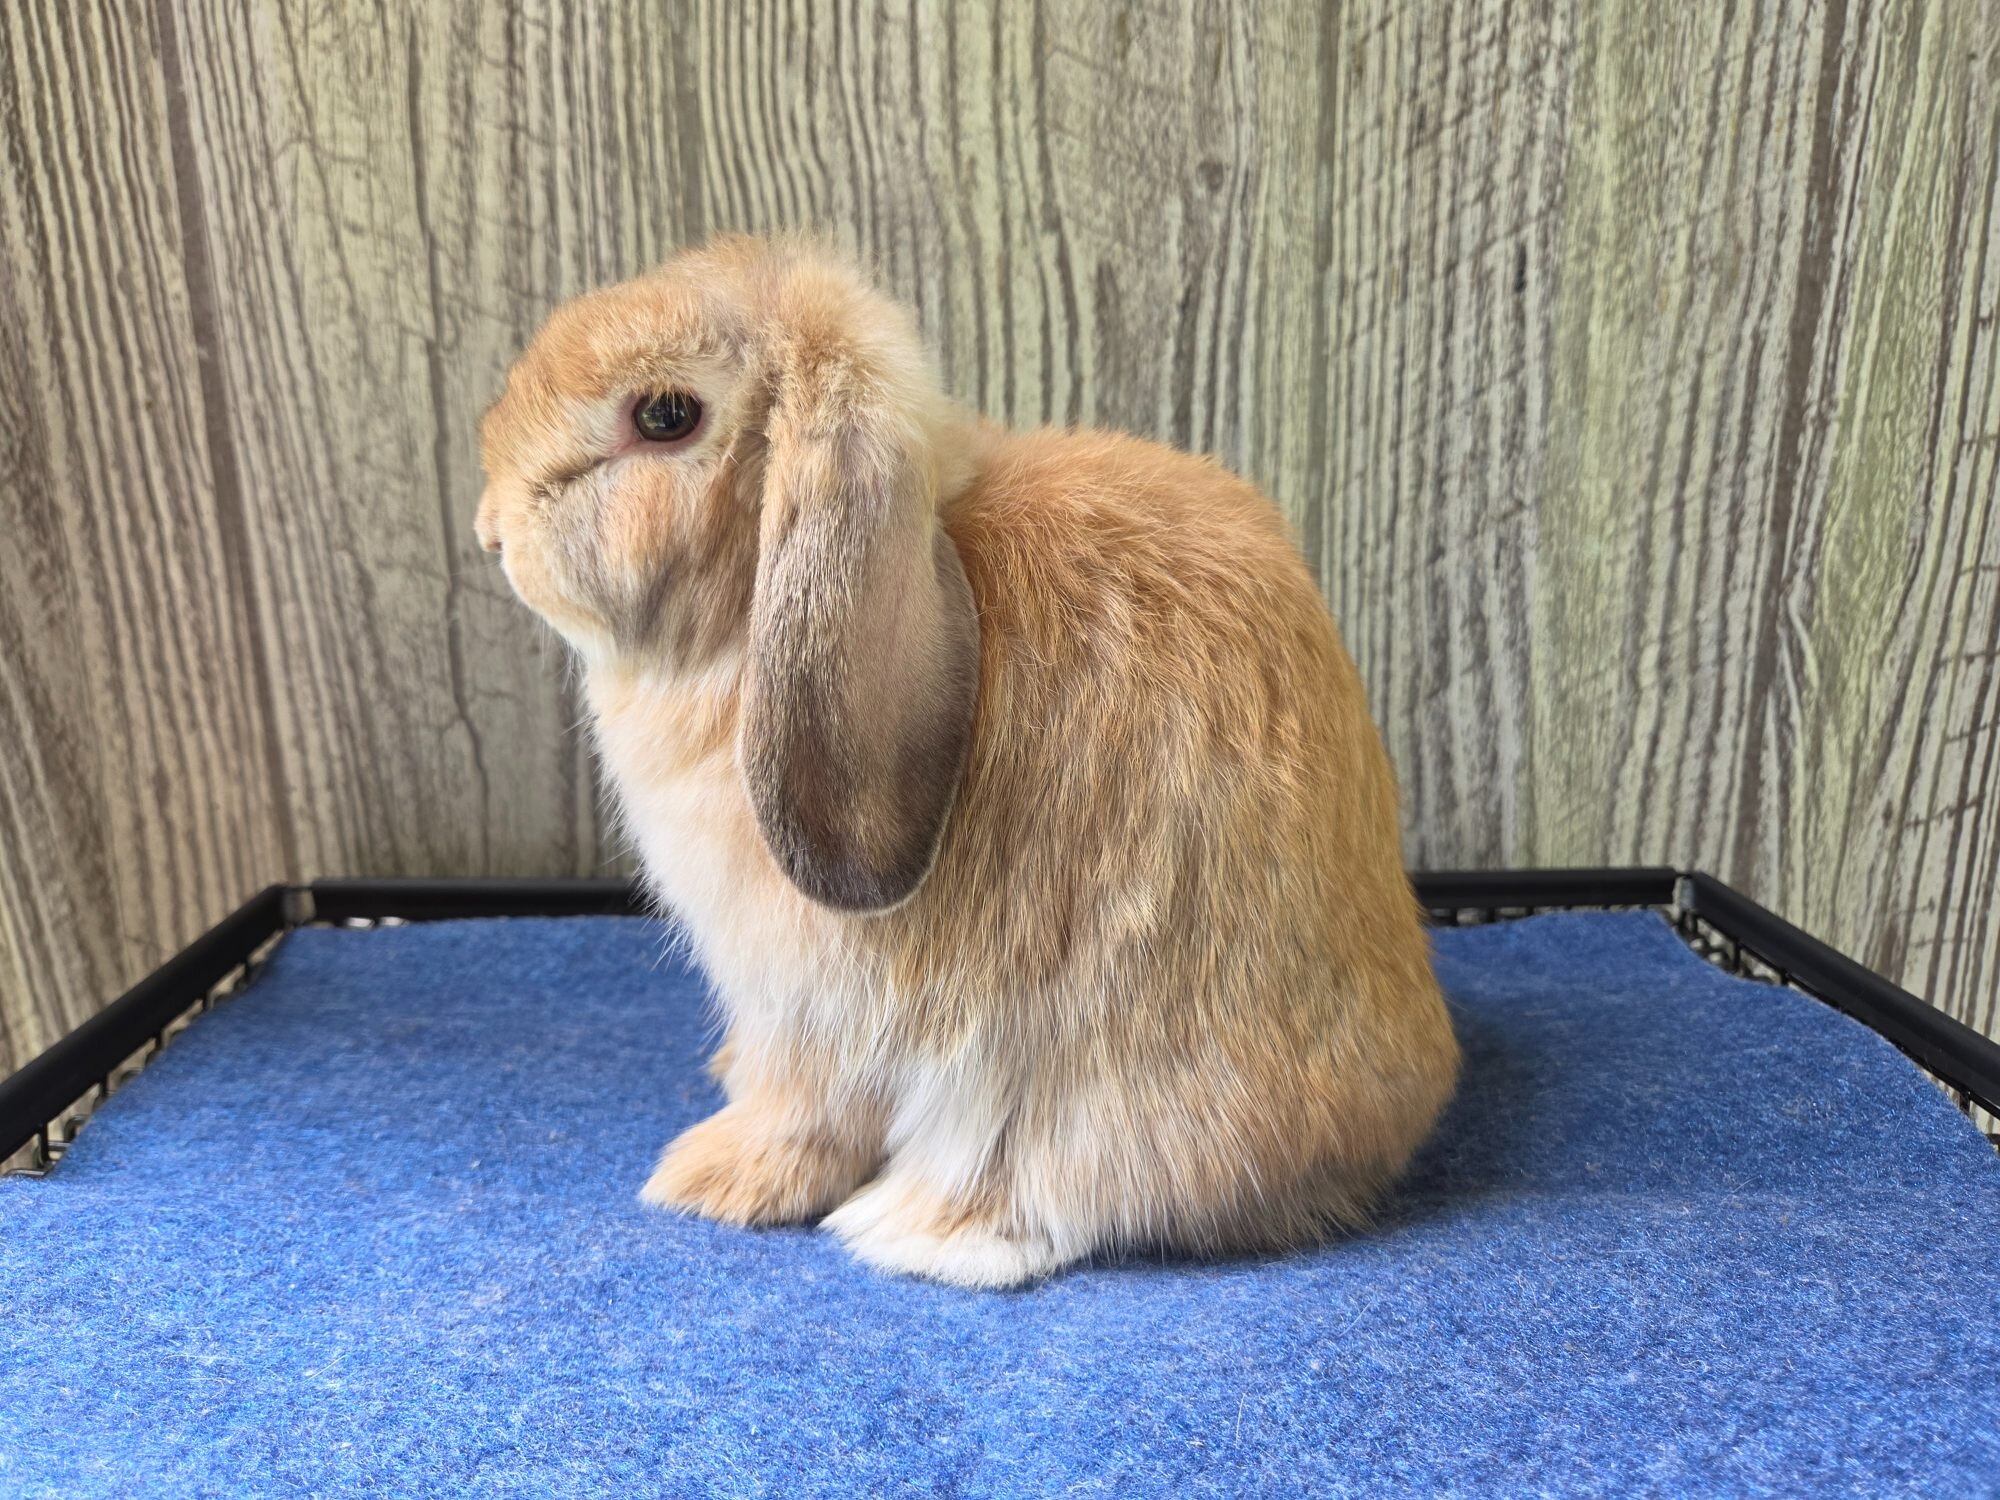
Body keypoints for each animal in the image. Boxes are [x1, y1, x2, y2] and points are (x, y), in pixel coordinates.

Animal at [475, 233, 1459, 1288]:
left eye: (665, 416)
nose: (491, 530)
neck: (748, 612)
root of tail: (1394, 1115)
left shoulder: (811, 1006)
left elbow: (806, 1110)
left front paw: (711, 1178)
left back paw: (917, 1228)